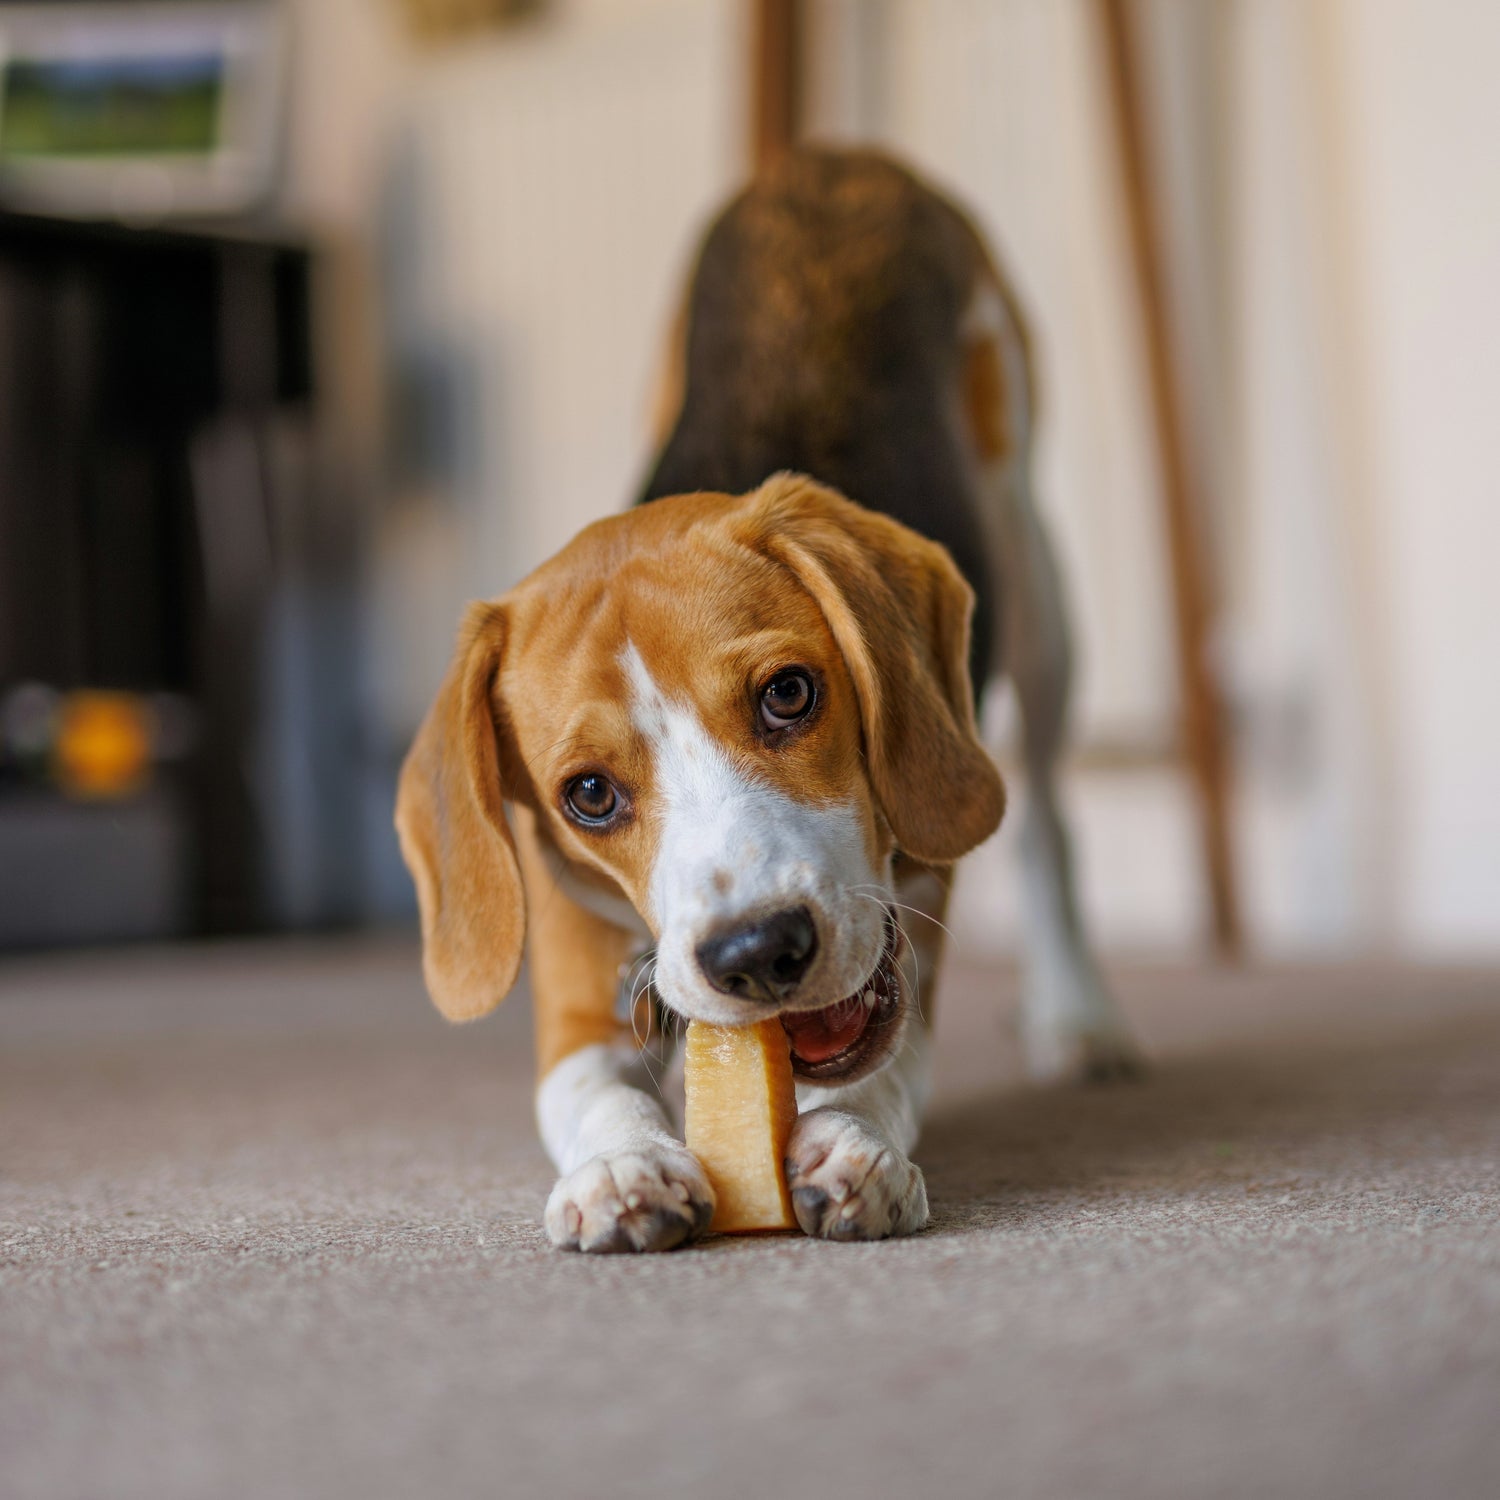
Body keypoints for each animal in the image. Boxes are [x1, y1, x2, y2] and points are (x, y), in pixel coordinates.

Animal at [399, 152, 1134, 1254]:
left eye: (790, 695)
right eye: (587, 797)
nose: (757, 954)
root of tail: (836, 160)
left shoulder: (909, 924)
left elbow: (890, 1066)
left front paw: (855, 1148)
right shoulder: (573, 965)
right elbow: (589, 1087)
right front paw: (622, 1167)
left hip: (1033, 573)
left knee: (1047, 816)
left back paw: (1077, 1015)